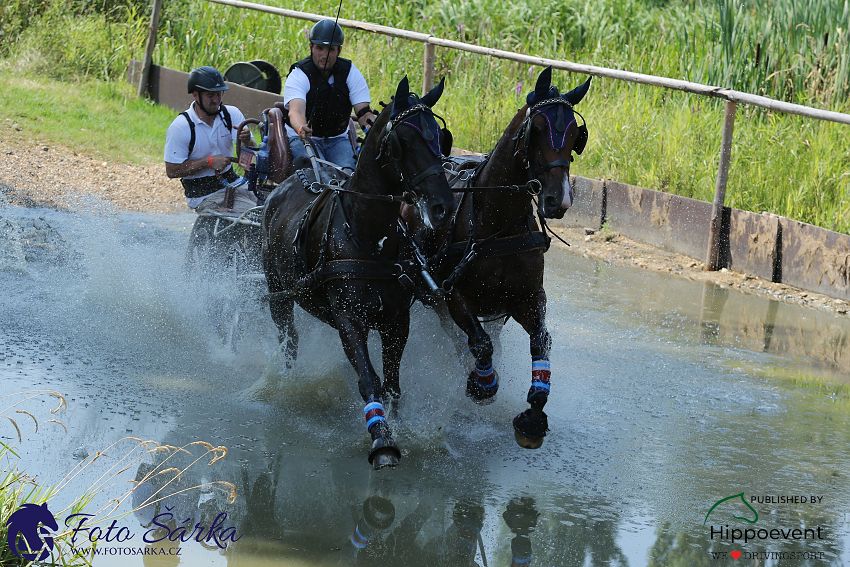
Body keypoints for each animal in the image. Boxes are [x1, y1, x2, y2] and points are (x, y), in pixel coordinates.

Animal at [404, 65, 588, 452]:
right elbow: (479, 343)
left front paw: (533, 415)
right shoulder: (454, 294)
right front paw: (482, 384)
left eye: (576, 135)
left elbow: (540, 342)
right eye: (536, 130)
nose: (558, 199)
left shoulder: (527, 297)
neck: (497, 223)